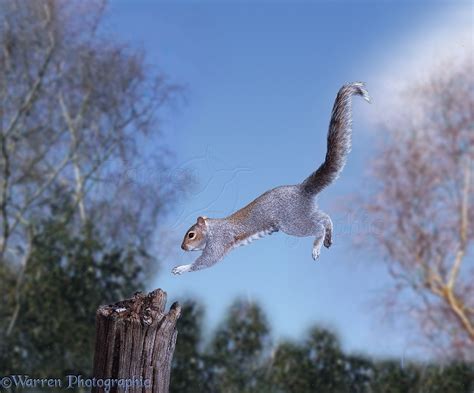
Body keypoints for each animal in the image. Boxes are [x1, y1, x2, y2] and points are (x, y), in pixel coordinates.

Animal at [172, 82, 368, 276]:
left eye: (191, 234)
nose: (182, 247)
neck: (212, 229)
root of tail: (302, 189)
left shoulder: (219, 241)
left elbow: (207, 261)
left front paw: (181, 268)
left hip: (292, 222)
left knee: (317, 227)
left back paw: (316, 247)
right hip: (305, 212)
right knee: (325, 217)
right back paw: (328, 238)